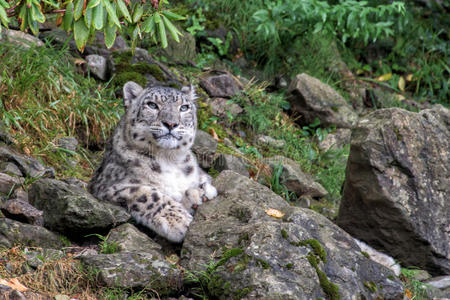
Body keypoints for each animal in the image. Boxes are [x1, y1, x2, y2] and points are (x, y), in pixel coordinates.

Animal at [88, 81, 218, 243]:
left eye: (184, 107)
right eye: (152, 105)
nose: (171, 123)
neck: (169, 159)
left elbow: (201, 181)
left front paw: (200, 192)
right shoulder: (108, 186)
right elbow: (149, 195)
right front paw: (179, 221)